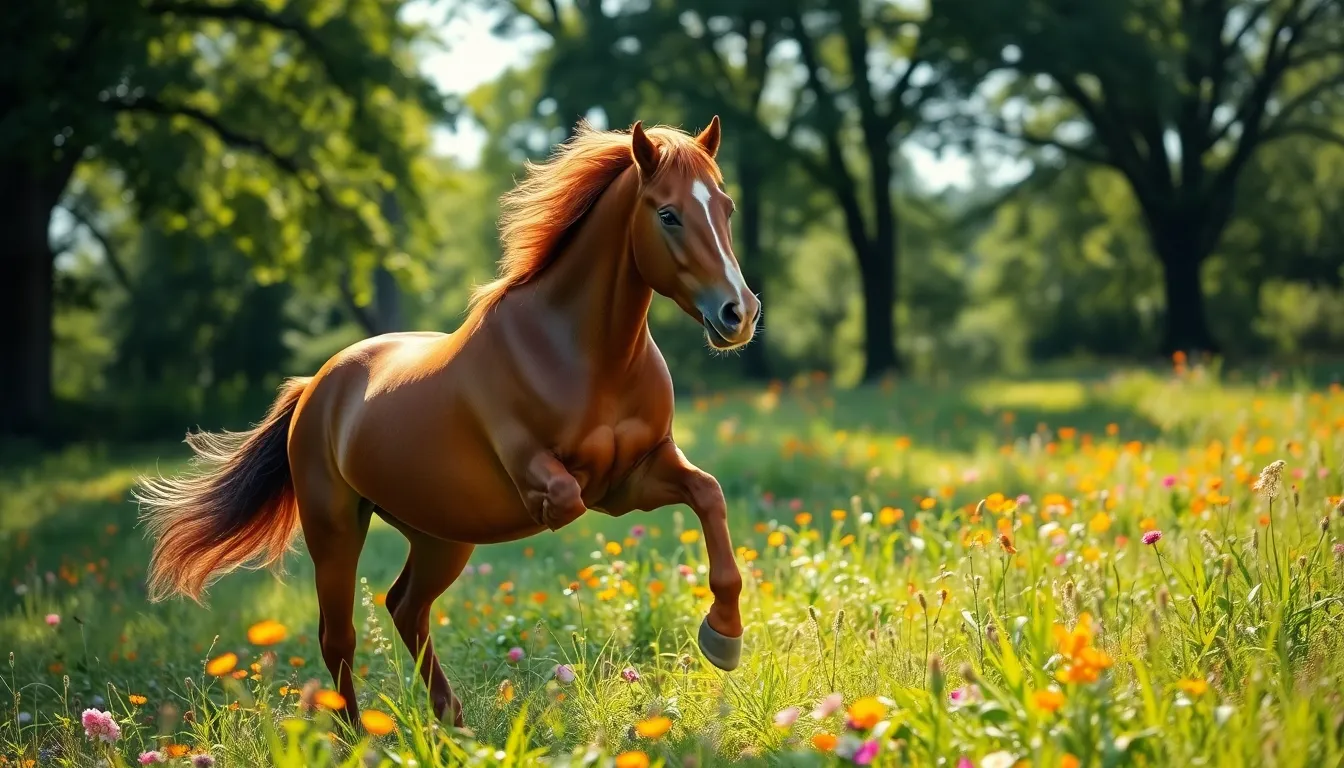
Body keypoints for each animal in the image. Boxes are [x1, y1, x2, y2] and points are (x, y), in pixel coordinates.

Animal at [133, 115, 760, 728]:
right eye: (668, 214)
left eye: (726, 207)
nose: (740, 313)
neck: (584, 353)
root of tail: (315, 385)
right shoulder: (560, 480)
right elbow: (567, 499)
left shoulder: (639, 474)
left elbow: (709, 494)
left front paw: (723, 637)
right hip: (335, 530)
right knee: (339, 637)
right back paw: (361, 738)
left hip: (440, 534)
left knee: (405, 607)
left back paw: (453, 724)